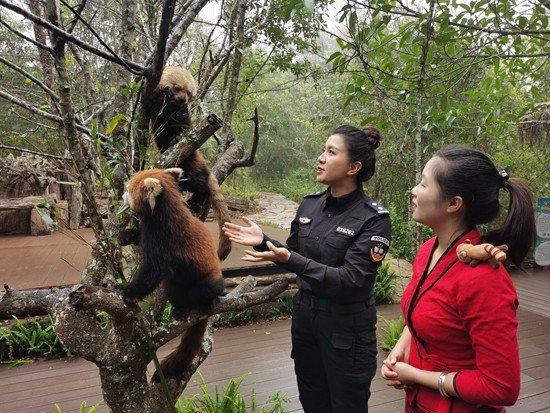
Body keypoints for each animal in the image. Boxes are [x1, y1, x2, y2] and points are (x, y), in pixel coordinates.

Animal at [120, 167, 224, 380]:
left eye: (128, 189)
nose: (121, 194)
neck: (162, 213)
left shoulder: (166, 237)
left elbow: (153, 271)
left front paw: (129, 292)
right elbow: (139, 238)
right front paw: (126, 235)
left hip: (208, 279)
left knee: (208, 288)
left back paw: (204, 303)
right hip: (177, 284)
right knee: (172, 286)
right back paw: (179, 308)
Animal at [143, 66, 232, 260]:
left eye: (189, 92)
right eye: (178, 88)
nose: (183, 99)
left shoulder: (181, 114)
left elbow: (182, 126)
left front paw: (177, 136)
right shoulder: (153, 104)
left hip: (193, 165)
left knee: (201, 184)